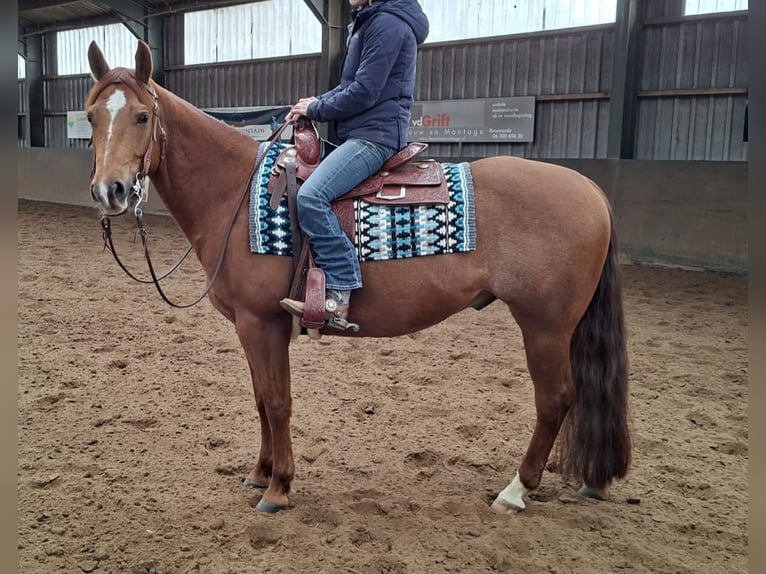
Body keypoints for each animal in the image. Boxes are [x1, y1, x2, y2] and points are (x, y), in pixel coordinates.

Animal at [85, 40, 631, 515]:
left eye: (142, 115)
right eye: (91, 116)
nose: (110, 191)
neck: (234, 192)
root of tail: (591, 190)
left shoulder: (262, 323)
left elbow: (277, 402)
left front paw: (279, 488)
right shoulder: (249, 326)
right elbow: (261, 400)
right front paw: (260, 473)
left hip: (545, 326)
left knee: (555, 399)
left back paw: (516, 491)